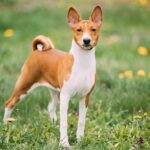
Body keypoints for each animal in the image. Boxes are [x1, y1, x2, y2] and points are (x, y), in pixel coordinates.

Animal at [3, 5, 102, 146]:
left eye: (93, 29)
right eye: (78, 30)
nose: (86, 40)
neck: (82, 63)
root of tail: (37, 51)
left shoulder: (85, 97)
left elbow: (81, 121)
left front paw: (80, 140)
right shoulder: (66, 96)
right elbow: (64, 123)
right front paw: (64, 144)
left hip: (55, 91)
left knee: (50, 106)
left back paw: (53, 125)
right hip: (24, 86)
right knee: (9, 103)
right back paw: (5, 127)